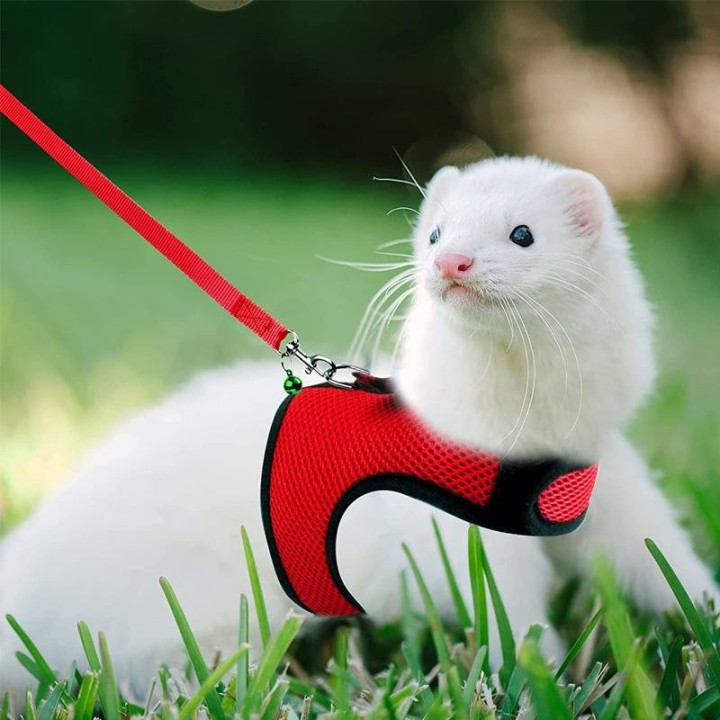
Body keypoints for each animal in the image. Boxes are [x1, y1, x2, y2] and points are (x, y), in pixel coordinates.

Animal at [1, 156, 717, 700]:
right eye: (435, 233)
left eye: (523, 233)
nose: (452, 262)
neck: (527, 432)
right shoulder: (461, 531)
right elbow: (505, 605)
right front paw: (538, 665)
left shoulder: (607, 481)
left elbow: (656, 553)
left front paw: (702, 610)